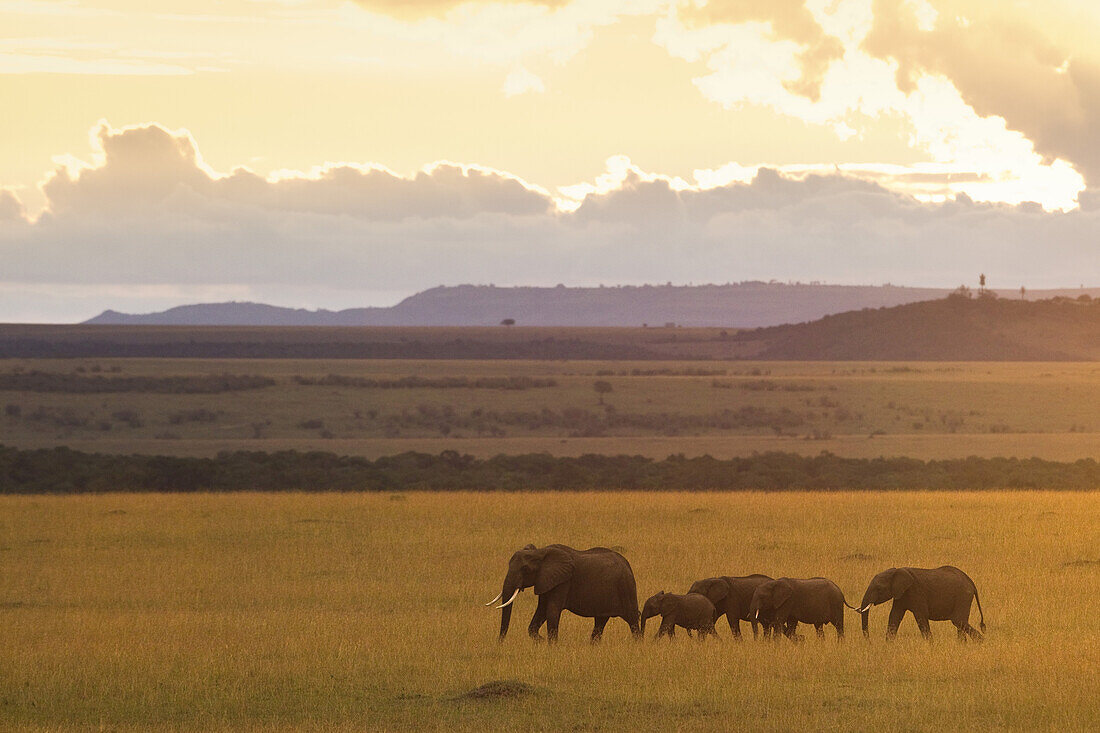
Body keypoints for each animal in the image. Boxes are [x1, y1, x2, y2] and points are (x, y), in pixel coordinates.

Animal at [486, 539, 642, 642]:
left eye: (525, 569)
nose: (500, 643)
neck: (540, 552)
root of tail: (627, 564)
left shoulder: (563, 581)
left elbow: (552, 610)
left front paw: (551, 646)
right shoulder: (546, 580)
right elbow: (542, 610)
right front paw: (541, 641)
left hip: (626, 587)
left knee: (633, 620)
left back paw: (638, 645)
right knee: (600, 621)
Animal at [858, 563, 990, 638]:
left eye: (879, 588)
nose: (868, 641)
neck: (897, 570)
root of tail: (971, 582)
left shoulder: (915, 592)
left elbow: (921, 617)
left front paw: (930, 646)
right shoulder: (901, 594)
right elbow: (894, 616)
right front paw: (888, 645)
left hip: (963, 596)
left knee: (959, 621)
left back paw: (980, 642)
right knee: (960, 624)